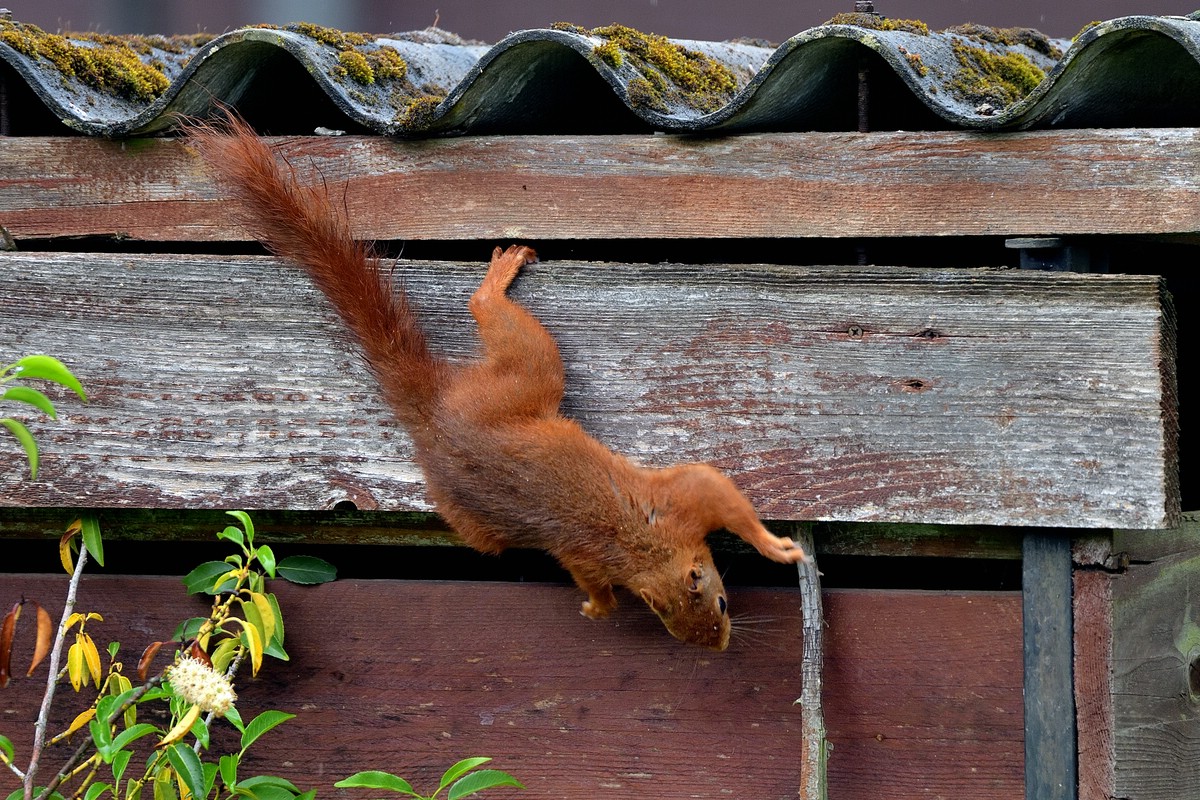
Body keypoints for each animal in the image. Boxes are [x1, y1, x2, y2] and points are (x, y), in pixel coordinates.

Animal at [190, 113, 808, 650]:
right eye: (713, 608)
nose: (720, 646)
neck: (641, 547)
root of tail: (437, 416)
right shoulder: (675, 505)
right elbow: (712, 484)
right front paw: (776, 547)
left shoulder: (602, 547)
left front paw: (601, 604)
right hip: (524, 386)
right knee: (510, 335)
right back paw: (495, 283)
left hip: (471, 510)